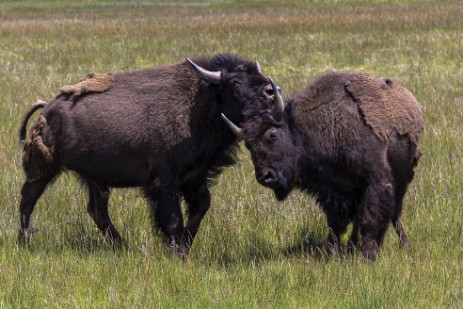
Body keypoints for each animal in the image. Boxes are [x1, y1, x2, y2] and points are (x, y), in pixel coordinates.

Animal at [19, 53, 276, 255]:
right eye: (235, 81)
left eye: (256, 74)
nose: (270, 91)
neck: (199, 103)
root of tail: (48, 109)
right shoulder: (165, 181)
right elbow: (172, 218)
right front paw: (177, 252)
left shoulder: (195, 177)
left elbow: (201, 206)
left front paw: (185, 244)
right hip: (44, 169)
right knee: (27, 201)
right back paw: (23, 242)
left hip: (95, 180)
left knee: (97, 211)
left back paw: (122, 246)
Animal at [223, 72, 426, 260]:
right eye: (248, 145)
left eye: (272, 135)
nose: (265, 176)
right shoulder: (332, 189)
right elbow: (336, 222)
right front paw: (332, 252)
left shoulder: (376, 180)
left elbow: (371, 217)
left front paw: (368, 255)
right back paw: (352, 246)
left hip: (403, 177)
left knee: (394, 213)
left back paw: (405, 246)